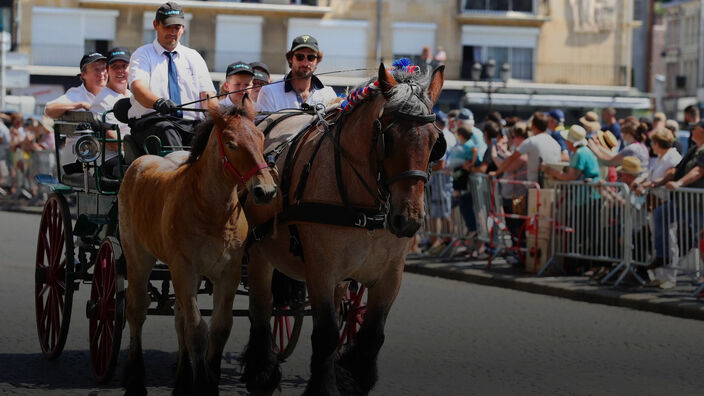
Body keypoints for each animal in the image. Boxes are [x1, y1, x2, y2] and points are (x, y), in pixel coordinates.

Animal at [119, 97, 276, 394]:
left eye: (261, 137)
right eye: (231, 143)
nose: (266, 191)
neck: (211, 210)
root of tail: (140, 161)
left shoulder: (228, 272)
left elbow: (219, 327)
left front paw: (208, 379)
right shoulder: (185, 269)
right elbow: (196, 329)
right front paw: (201, 381)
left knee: (178, 316)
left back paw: (181, 378)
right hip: (137, 258)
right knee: (136, 309)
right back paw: (135, 378)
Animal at [239, 65, 442, 396]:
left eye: (435, 141)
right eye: (388, 137)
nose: (408, 219)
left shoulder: (389, 275)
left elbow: (371, 334)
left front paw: (351, 378)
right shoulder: (321, 270)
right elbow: (326, 334)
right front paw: (323, 386)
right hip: (259, 253)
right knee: (261, 307)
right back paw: (262, 373)